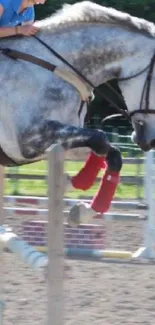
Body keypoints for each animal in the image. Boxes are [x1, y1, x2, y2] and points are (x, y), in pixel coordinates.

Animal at [0, 1, 155, 219]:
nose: (151, 141)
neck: (59, 68)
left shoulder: (63, 141)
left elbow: (109, 151)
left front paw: (82, 205)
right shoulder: (29, 140)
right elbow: (100, 138)